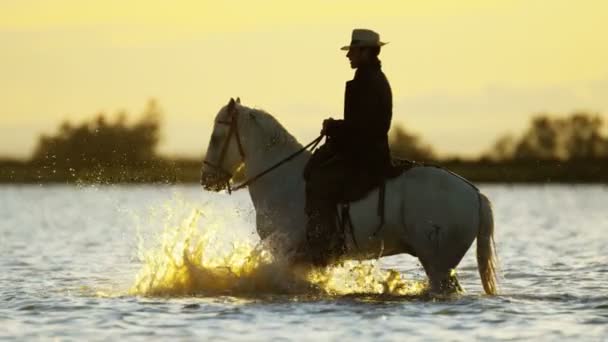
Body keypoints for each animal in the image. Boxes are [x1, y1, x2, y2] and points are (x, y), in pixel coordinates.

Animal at [202, 98, 496, 294]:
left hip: (437, 264)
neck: (282, 178)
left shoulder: (285, 251)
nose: (207, 179)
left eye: (216, 136)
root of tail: (475, 194)